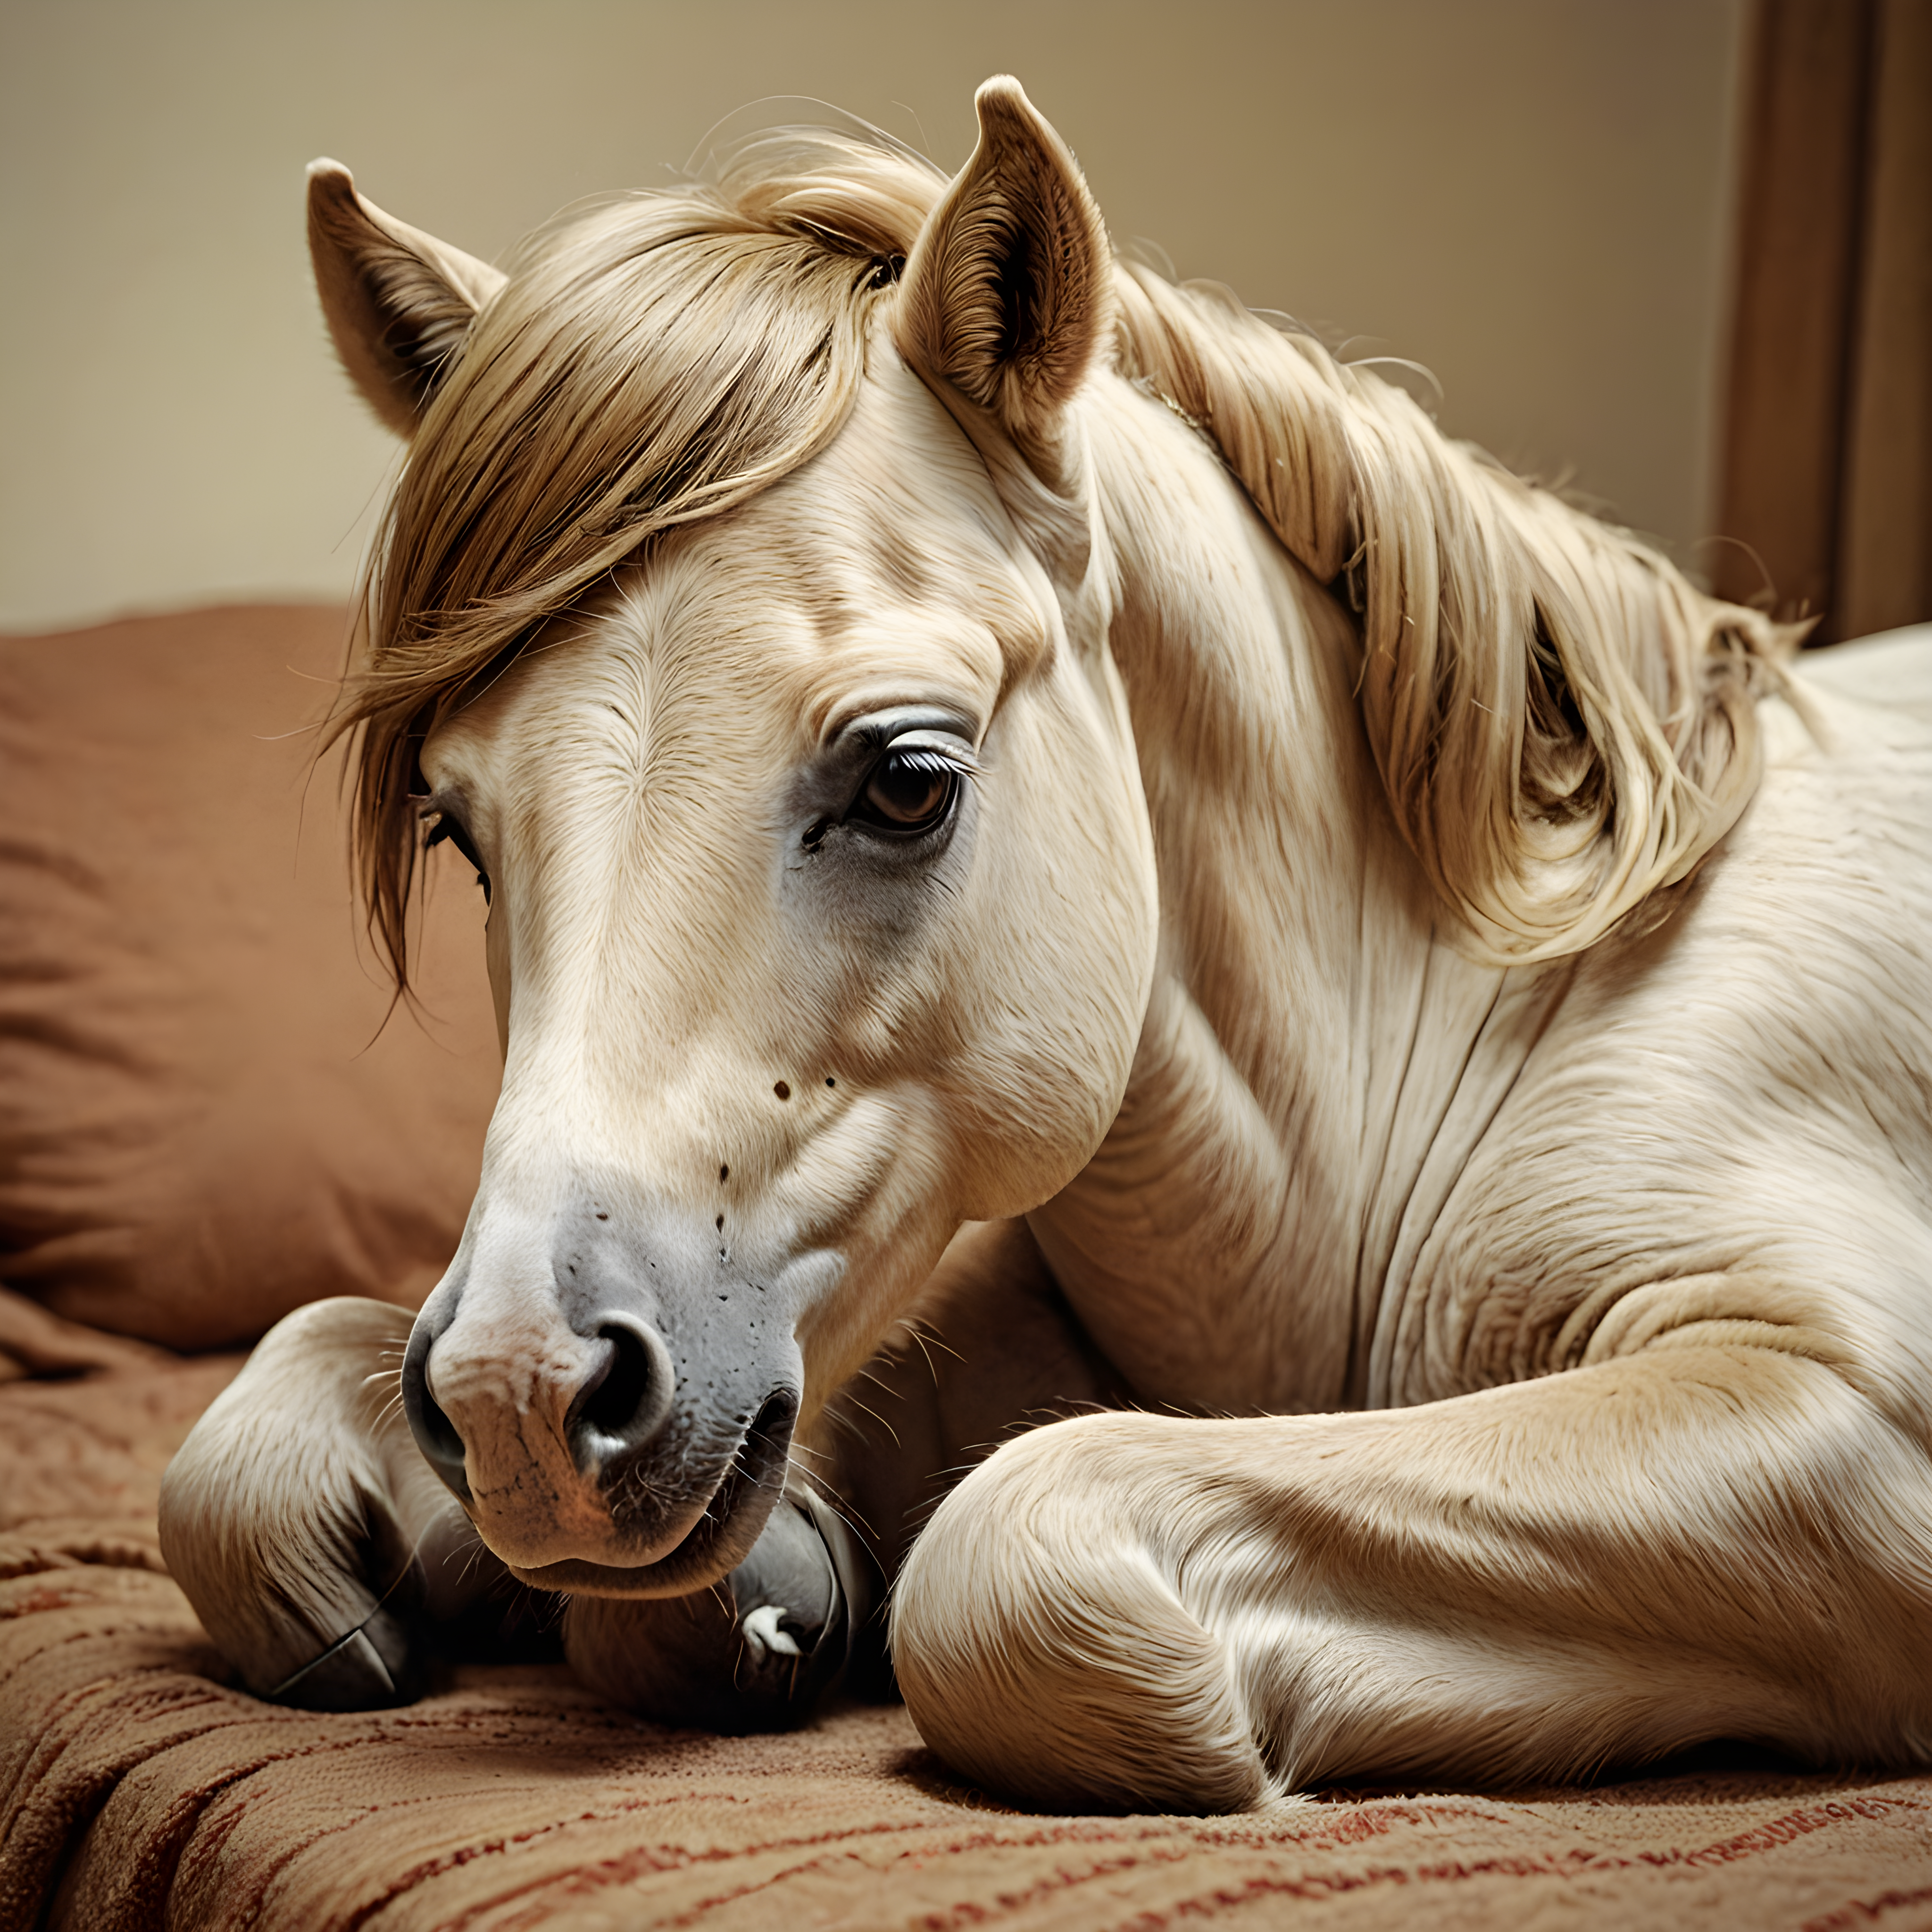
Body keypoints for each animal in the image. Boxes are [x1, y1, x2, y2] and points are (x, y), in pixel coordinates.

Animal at [158, 77, 1932, 1814]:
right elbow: (270, 1419)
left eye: (906, 779)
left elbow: (1015, 1542)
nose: (519, 1392)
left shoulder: (1826, 1407)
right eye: (457, 828)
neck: (1503, 1004)